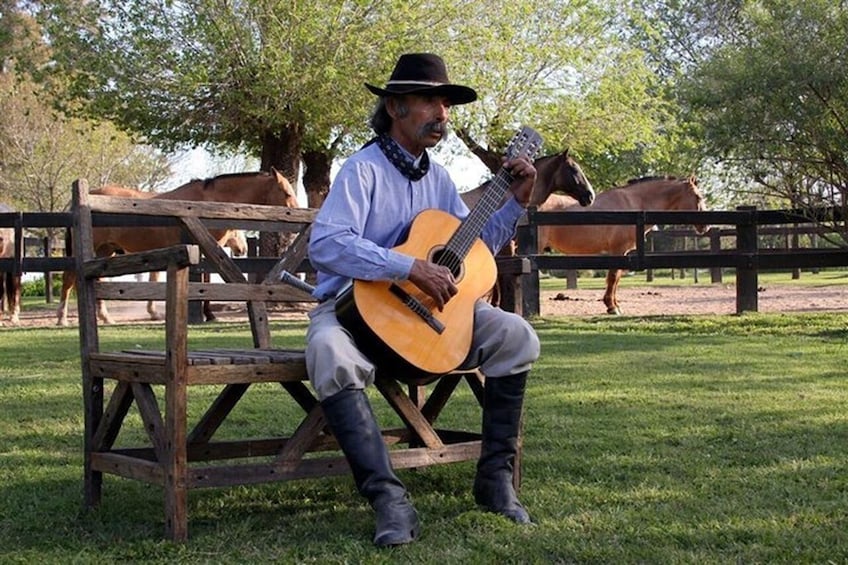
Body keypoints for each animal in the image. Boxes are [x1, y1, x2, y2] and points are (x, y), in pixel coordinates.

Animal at [55, 169, 294, 326]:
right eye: (287, 193)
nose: (242, 249)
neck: (208, 201)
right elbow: (203, 282)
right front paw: (206, 314)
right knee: (69, 280)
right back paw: (62, 319)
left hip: (106, 250)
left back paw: (105, 317)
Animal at [536, 174, 708, 316]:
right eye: (698, 197)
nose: (705, 227)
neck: (633, 205)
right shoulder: (617, 250)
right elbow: (613, 277)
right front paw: (612, 307)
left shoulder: (622, 252)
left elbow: (616, 278)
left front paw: (615, 305)